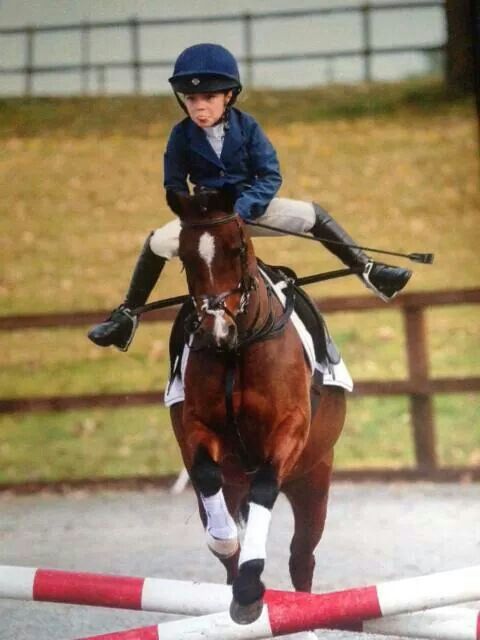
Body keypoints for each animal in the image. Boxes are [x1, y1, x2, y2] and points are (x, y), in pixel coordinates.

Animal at [165, 190, 344, 624]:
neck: (238, 352)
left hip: (313, 480)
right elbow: (206, 475)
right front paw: (227, 543)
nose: (216, 330)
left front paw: (250, 585)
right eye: (185, 257)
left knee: (301, 558)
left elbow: (265, 486)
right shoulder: (199, 426)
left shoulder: (290, 429)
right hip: (233, 485)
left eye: (238, 248)